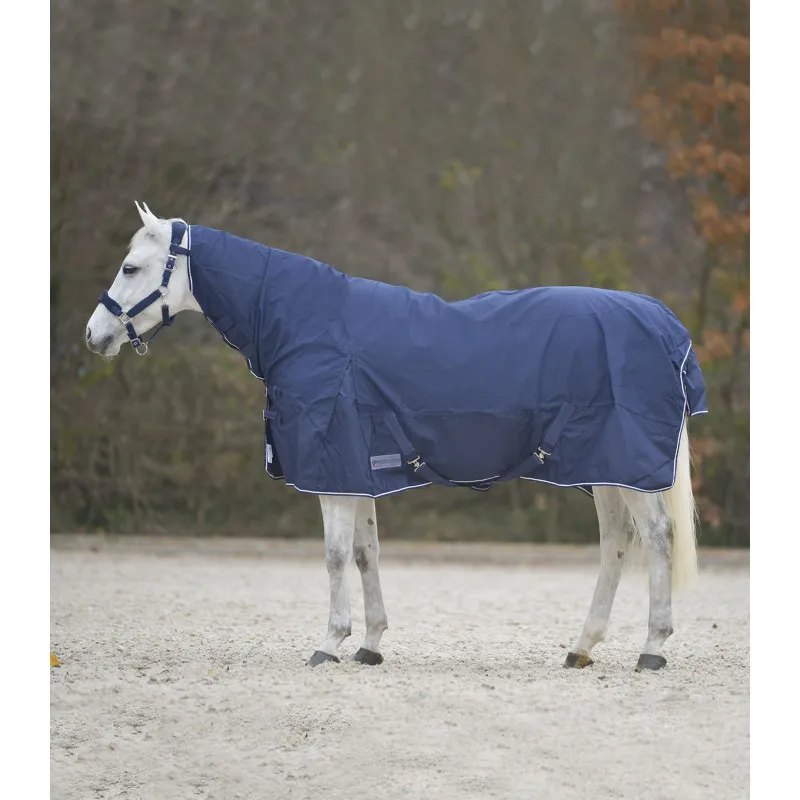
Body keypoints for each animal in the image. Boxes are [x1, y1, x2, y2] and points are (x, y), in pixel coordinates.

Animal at [85, 202, 708, 672]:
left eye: (132, 268)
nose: (94, 335)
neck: (311, 327)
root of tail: (665, 324)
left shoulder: (334, 469)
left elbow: (335, 556)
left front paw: (329, 643)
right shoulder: (358, 469)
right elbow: (366, 553)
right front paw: (369, 644)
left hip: (627, 466)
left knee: (656, 538)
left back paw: (652, 649)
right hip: (607, 468)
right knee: (616, 542)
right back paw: (581, 648)